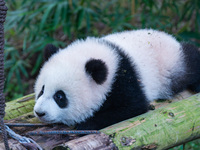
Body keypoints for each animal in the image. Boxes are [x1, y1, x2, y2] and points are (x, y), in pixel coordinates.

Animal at [33, 29, 199, 130]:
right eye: (41, 90)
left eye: (60, 96)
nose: (40, 112)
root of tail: (171, 39)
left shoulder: (124, 80)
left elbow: (132, 107)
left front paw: (86, 124)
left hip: (171, 63)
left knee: (190, 59)